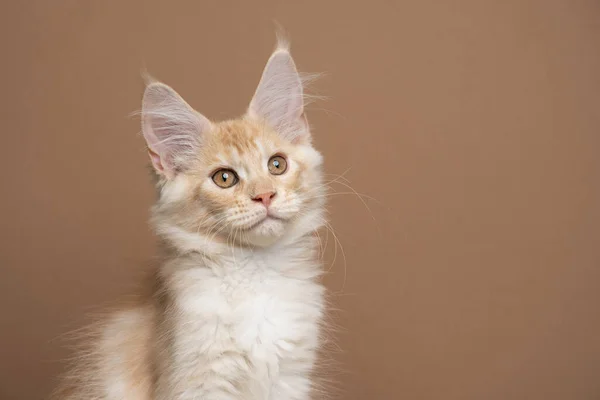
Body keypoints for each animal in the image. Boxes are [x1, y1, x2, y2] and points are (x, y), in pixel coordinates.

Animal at [52, 38, 330, 400]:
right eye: (224, 178)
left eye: (277, 165)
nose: (265, 196)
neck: (255, 270)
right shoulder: (196, 377)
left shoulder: (289, 376)